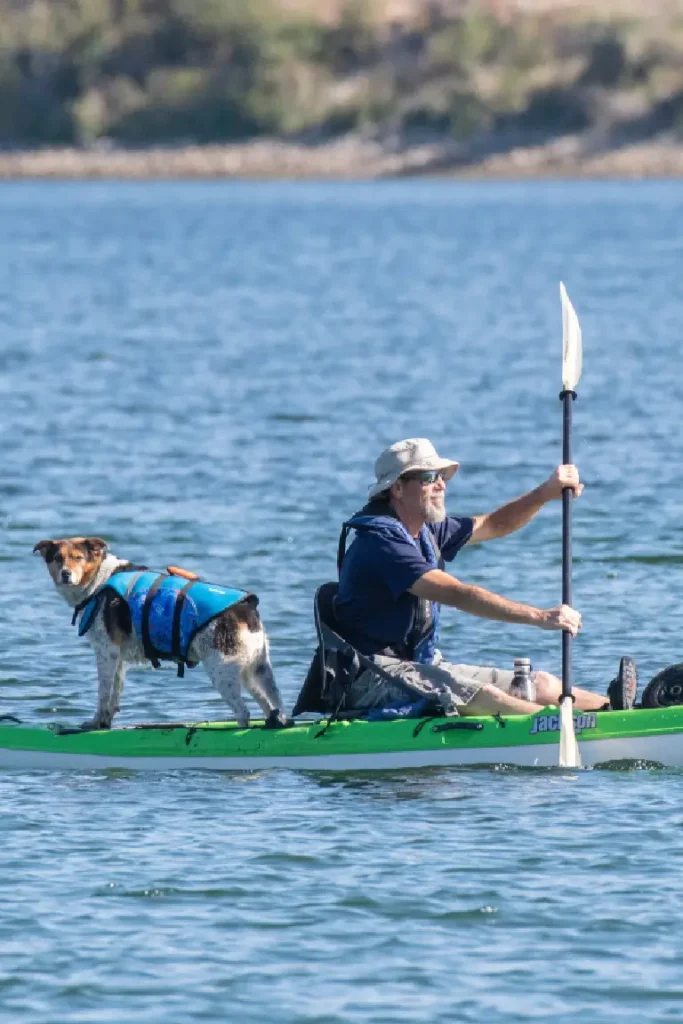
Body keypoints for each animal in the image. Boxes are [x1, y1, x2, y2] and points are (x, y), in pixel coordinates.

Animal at [34, 536, 288, 729]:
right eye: (57, 558)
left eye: (78, 557)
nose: (66, 574)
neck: (99, 580)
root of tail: (245, 609)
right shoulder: (118, 657)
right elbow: (114, 694)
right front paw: (105, 723)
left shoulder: (106, 652)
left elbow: (103, 694)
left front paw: (96, 723)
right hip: (255, 670)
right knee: (275, 709)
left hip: (222, 671)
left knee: (244, 714)